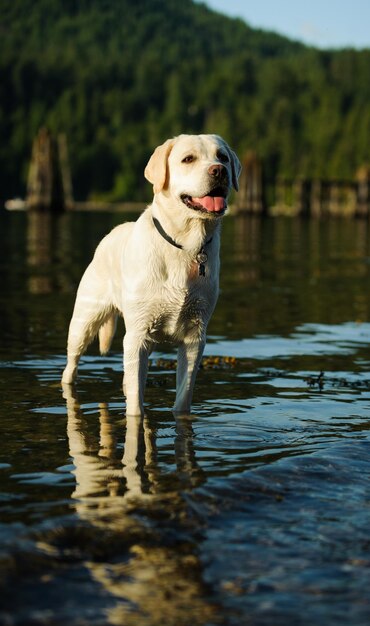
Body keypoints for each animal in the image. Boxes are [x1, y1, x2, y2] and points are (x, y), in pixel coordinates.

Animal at [62, 133, 241, 414]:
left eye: (222, 157)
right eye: (188, 159)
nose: (219, 171)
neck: (186, 246)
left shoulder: (195, 337)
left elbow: (183, 396)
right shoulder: (137, 336)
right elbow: (136, 406)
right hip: (84, 320)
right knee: (71, 365)